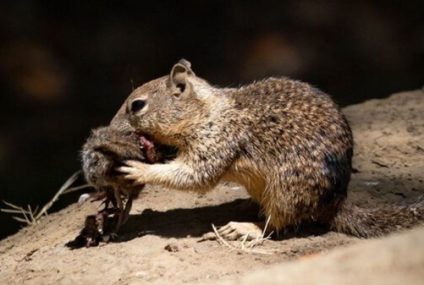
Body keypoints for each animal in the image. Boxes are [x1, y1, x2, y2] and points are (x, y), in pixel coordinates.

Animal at [113, 58, 424, 239]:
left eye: (137, 105)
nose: (111, 127)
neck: (205, 112)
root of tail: (335, 202)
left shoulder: (217, 140)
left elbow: (195, 175)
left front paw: (139, 169)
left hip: (287, 191)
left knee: (276, 225)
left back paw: (244, 227)